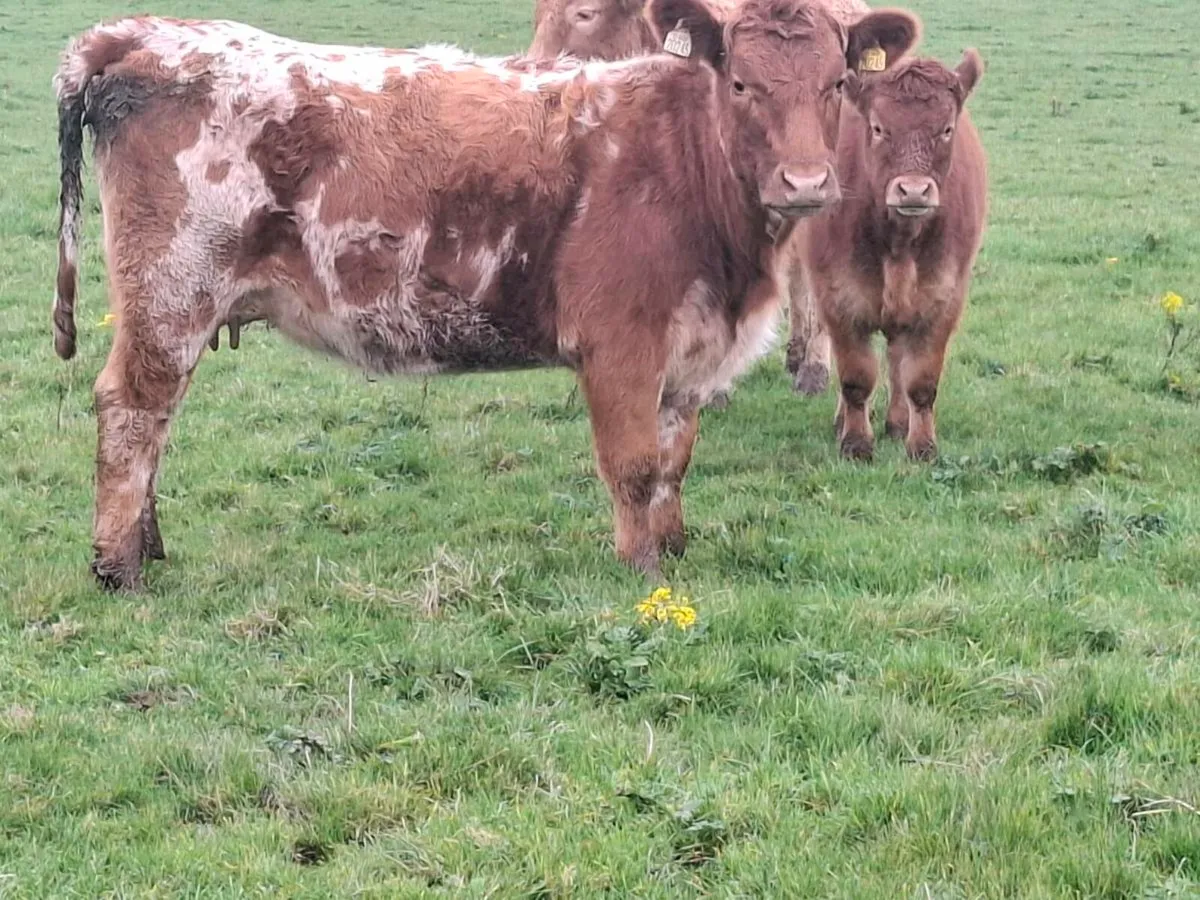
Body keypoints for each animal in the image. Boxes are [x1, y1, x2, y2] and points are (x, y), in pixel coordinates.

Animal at [797, 50, 987, 462]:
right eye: (879, 128)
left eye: (946, 129)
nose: (913, 191)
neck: (900, 245)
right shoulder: (838, 297)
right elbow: (856, 377)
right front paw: (855, 443)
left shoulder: (942, 300)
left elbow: (921, 380)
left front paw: (922, 445)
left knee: (899, 359)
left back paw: (899, 422)